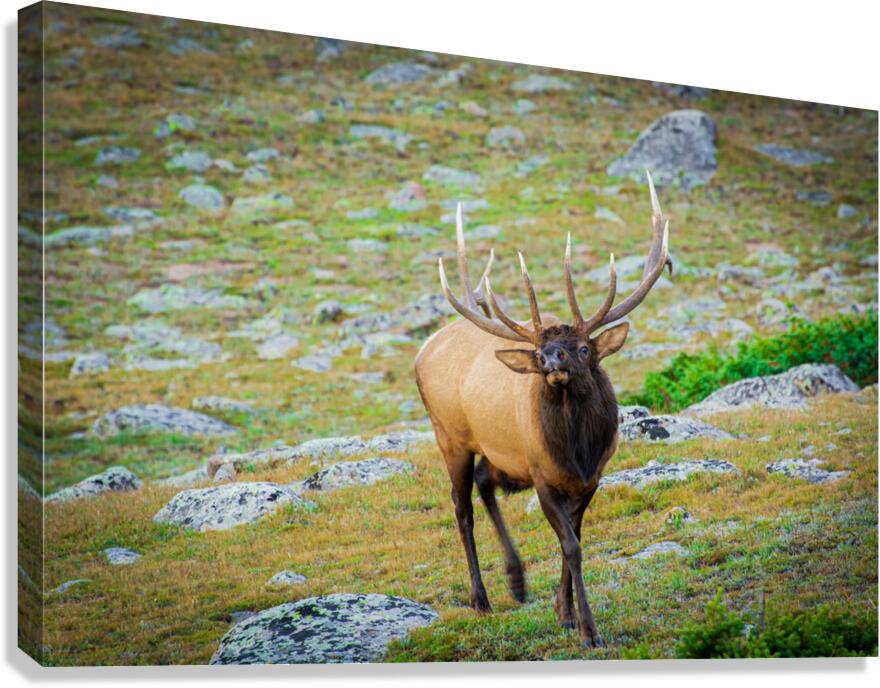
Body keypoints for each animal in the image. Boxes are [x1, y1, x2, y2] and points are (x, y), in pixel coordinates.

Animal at [414, 171, 671, 648]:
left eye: (584, 347)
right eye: (538, 354)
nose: (551, 360)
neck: (578, 451)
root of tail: (423, 349)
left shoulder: (592, 477)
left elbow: (576, 538)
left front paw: (564, 613)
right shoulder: (540, 474)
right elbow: (571, 545)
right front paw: (588, 629)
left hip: (499, 450)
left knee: (485, 482)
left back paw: (517, 581)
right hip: (450, 436)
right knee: (461, 508)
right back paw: (481, 599)